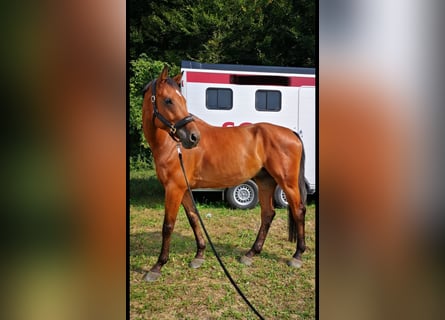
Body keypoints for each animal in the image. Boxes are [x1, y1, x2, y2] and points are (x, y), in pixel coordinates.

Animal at [141, 66, 306, 282]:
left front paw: (157, 266)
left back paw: (297, 256)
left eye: (181, 100)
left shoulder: (174, 188)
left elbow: (168, 226)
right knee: (268, 214)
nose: (193, 137)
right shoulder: (183, 189)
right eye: (168, 100)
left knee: (298, 211)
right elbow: (193, 217)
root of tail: (292, 133)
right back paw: (251, 254)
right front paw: (199, 255)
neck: (172, 146)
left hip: (288, 182)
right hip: (265, 182)